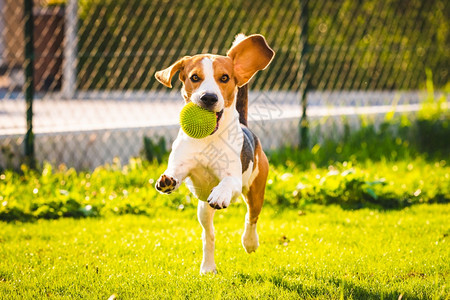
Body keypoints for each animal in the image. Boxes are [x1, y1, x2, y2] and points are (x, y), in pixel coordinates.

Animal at [155, 33, 274, 274]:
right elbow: (175, 172)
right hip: (203, 209)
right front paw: (167, 180)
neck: (207, 139)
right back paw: (208, 267)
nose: (208, 97)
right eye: (195, 77)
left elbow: (227, 183)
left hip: (256, 190)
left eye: (225, 78)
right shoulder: (182, 165)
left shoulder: (233, 178)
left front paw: (220, 194)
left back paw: (250, 242)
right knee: (209, 236)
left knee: (251, 217)